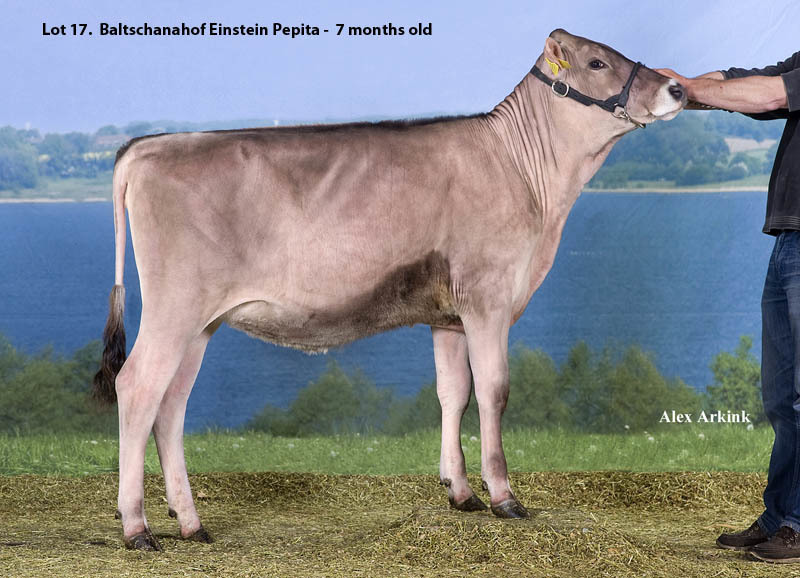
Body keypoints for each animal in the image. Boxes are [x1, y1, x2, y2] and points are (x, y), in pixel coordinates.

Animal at [93, 29, 686, 550]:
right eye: (597, 62)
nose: (677, 88)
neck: (527, 177)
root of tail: (146, 147)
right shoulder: (488, 300)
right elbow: (493, 392)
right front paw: (504, 498)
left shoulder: (448, 316)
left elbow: (453, 392)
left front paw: (460, 492)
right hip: (174, 308)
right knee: (137, 388)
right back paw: (137, 528)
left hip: (201, 322)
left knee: (171, 405)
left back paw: (190, 523)